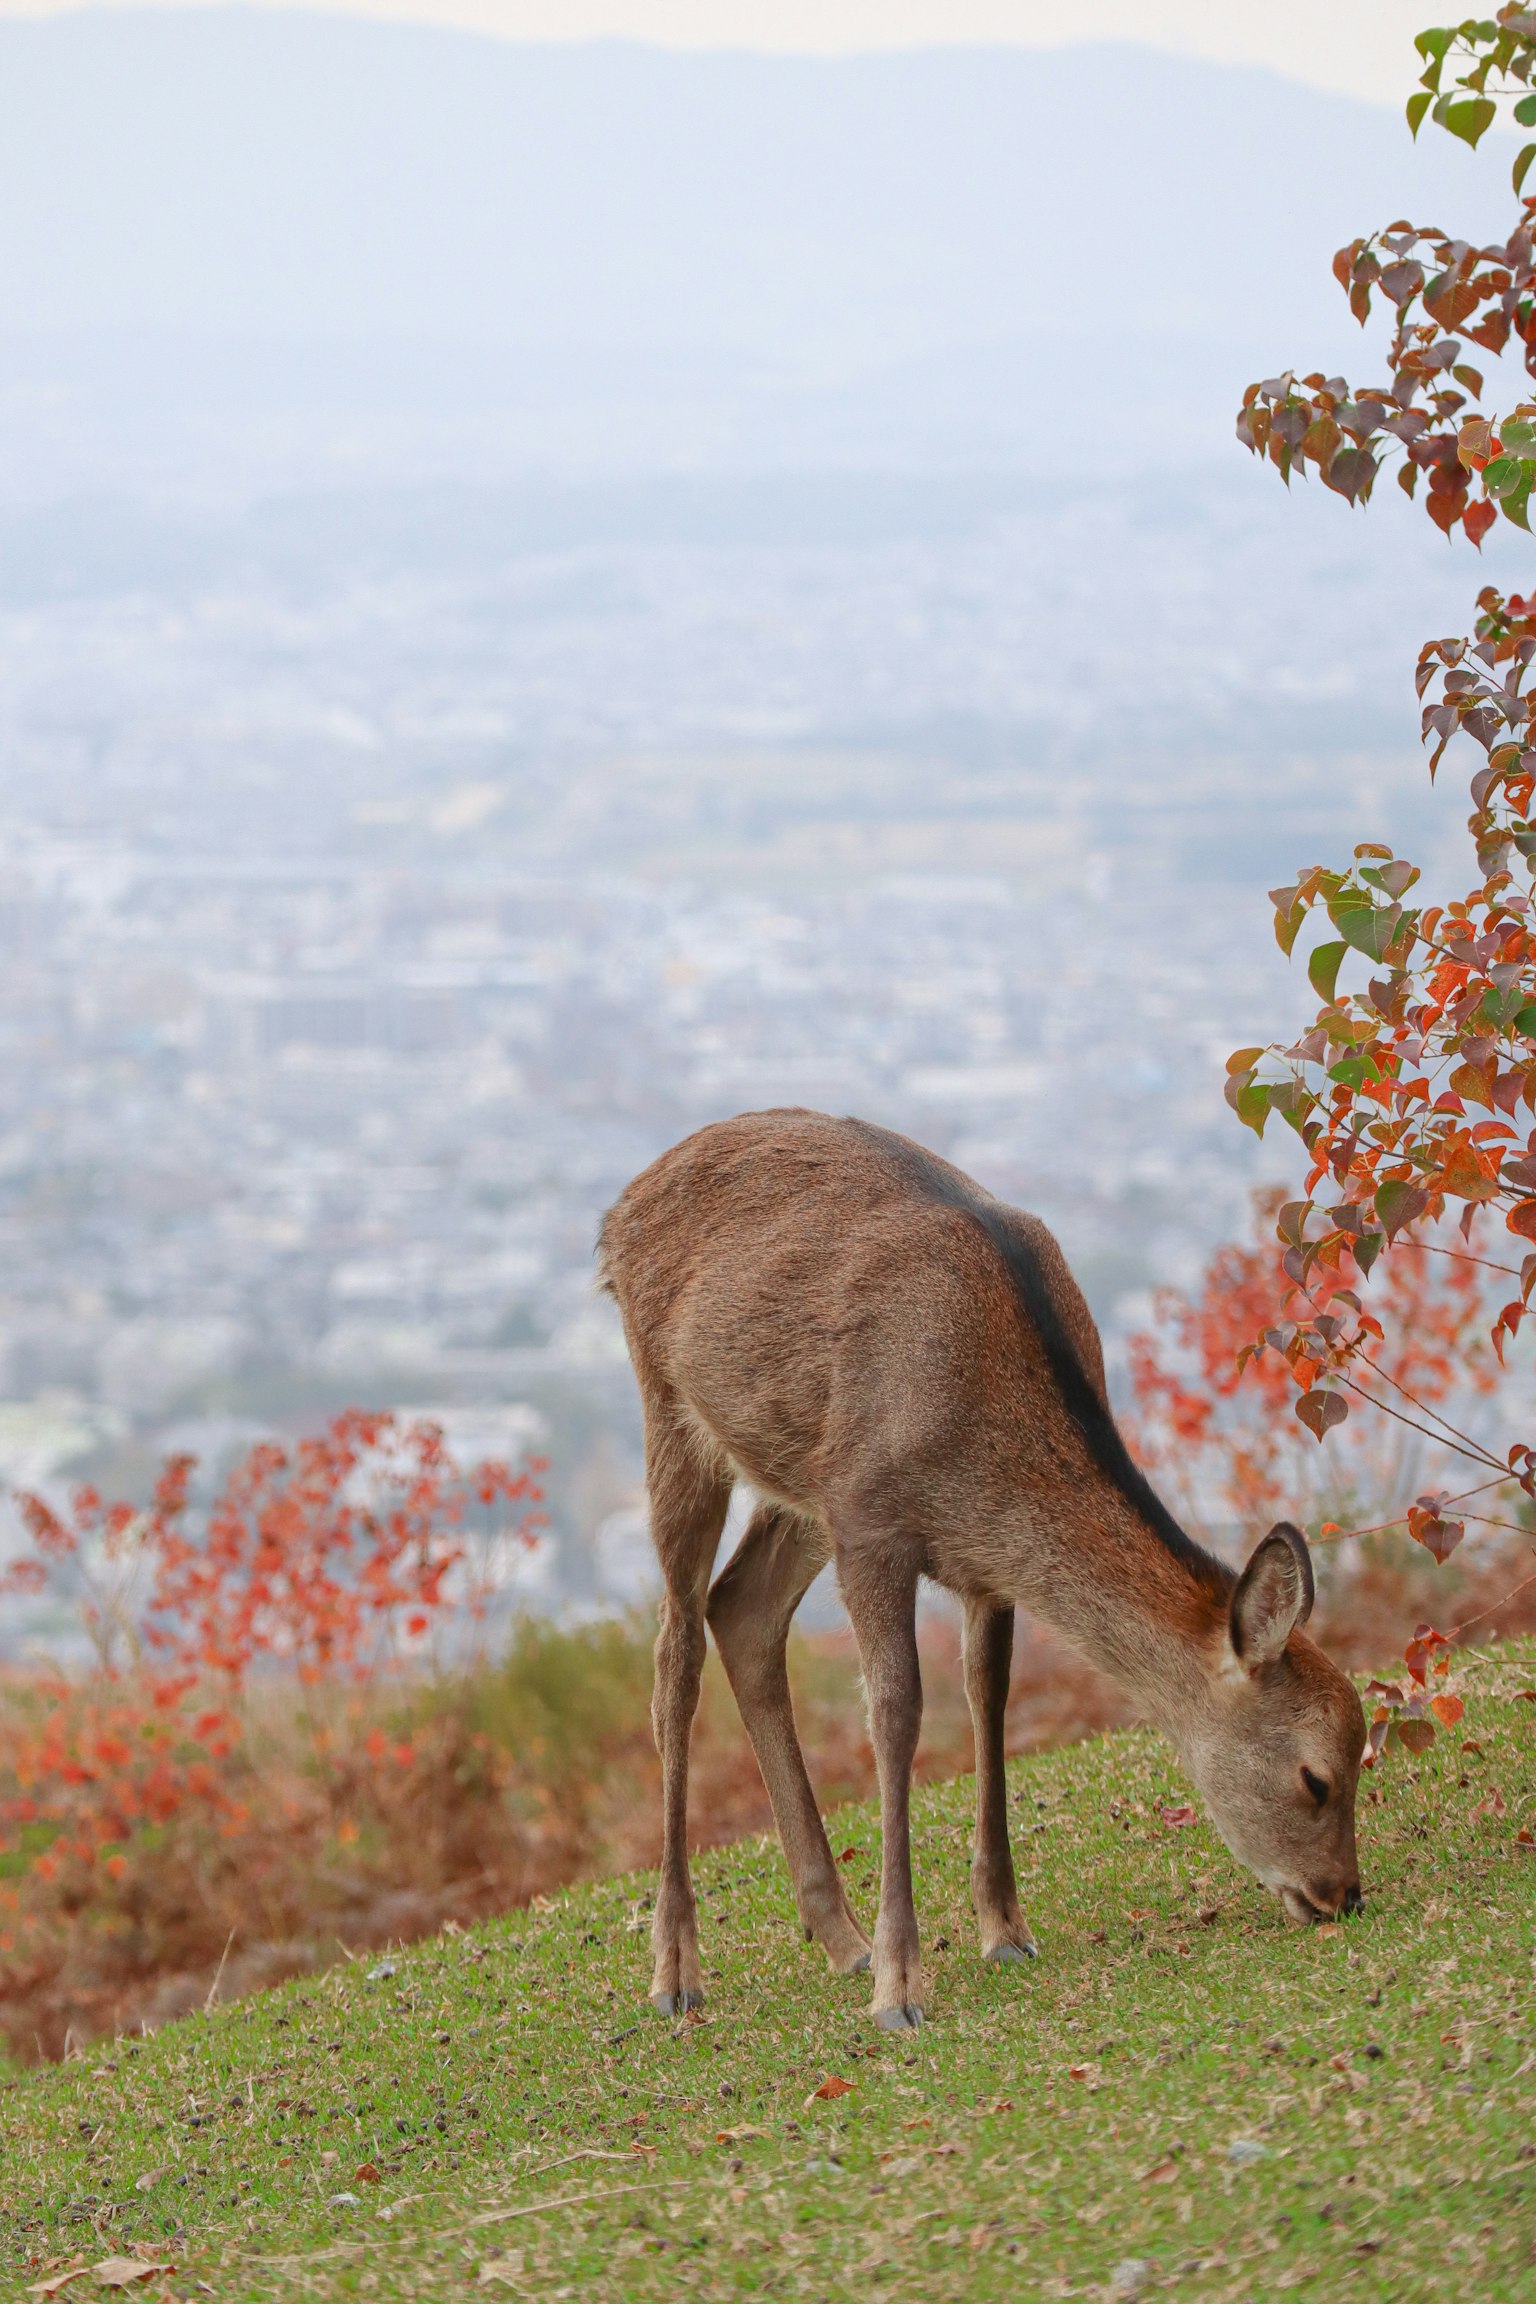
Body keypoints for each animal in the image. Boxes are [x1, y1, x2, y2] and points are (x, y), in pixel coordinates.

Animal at [599, 1108, 1366, 2031]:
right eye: (1317, 1777)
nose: (1344, 1895)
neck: (981, 1465)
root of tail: (620, 1210)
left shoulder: (977, 1562)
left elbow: (988, 1695)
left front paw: (1003, 1929)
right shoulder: (873, 1525)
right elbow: (896, 1713)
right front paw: (902, 1987)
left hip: (805, 1478)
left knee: (740, 1608)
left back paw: (839, 1938)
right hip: (674, 1410)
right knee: (674, 1653)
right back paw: (678, 1969)